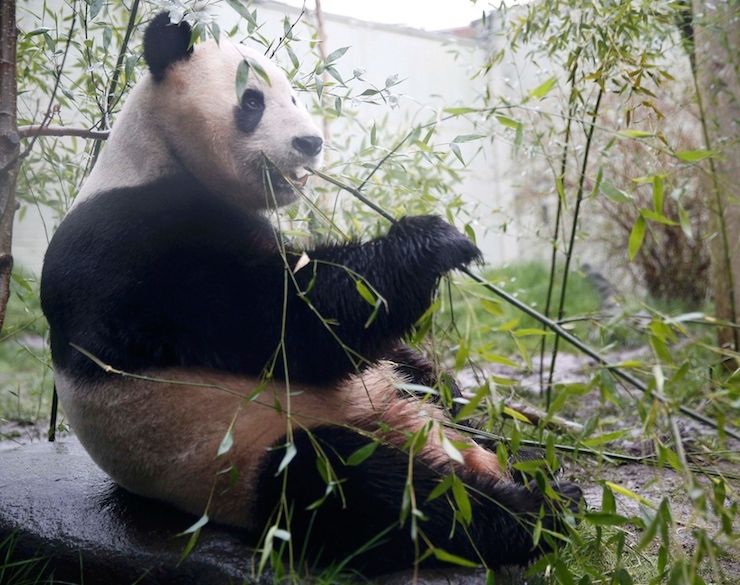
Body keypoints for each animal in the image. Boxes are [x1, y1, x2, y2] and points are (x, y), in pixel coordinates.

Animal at [40, 12, 581, 576]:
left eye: (295, 96)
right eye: (252, 101)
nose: (310, 143)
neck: (159, 150)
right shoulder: (137, 251)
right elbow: (290, 324)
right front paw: (436, 240)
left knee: (429, 400)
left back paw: (526, 459)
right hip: (243, 452)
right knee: (369, 489)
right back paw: (538, 508)